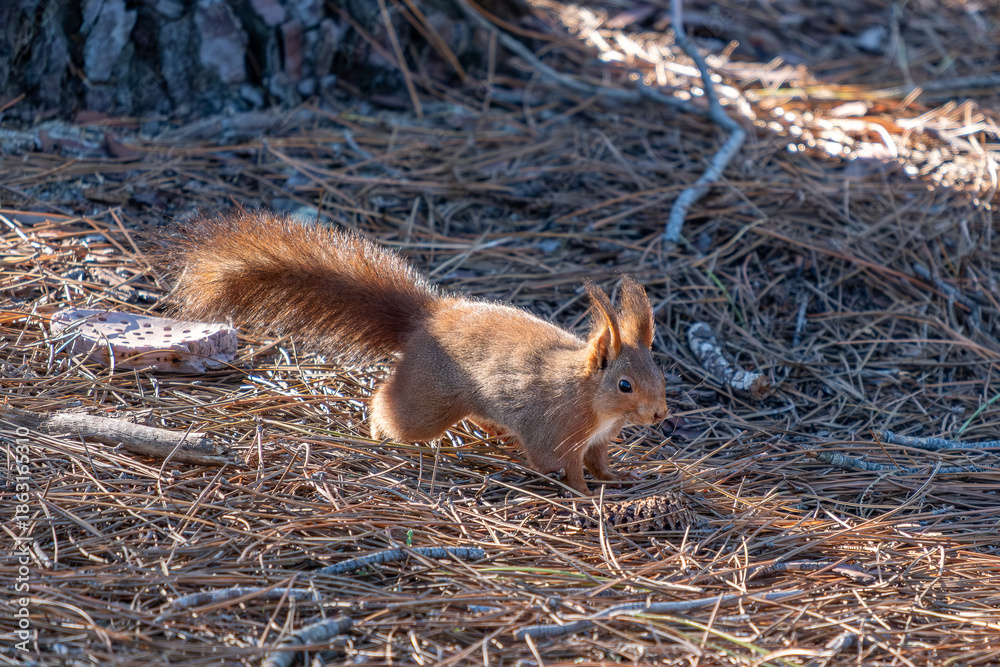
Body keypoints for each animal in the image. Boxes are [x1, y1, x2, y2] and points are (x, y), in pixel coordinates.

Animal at [163, 210, 668, 494]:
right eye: (625, 385)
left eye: (662, 376)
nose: (661, 414)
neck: (591, 399)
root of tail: (429, 318)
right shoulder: (558, 431)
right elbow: (565, 467)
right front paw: (587, 497)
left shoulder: (599, 439)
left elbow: (600, 463)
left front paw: (619, 480)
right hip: (430, 400)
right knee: (389, 404)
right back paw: (377, 429)